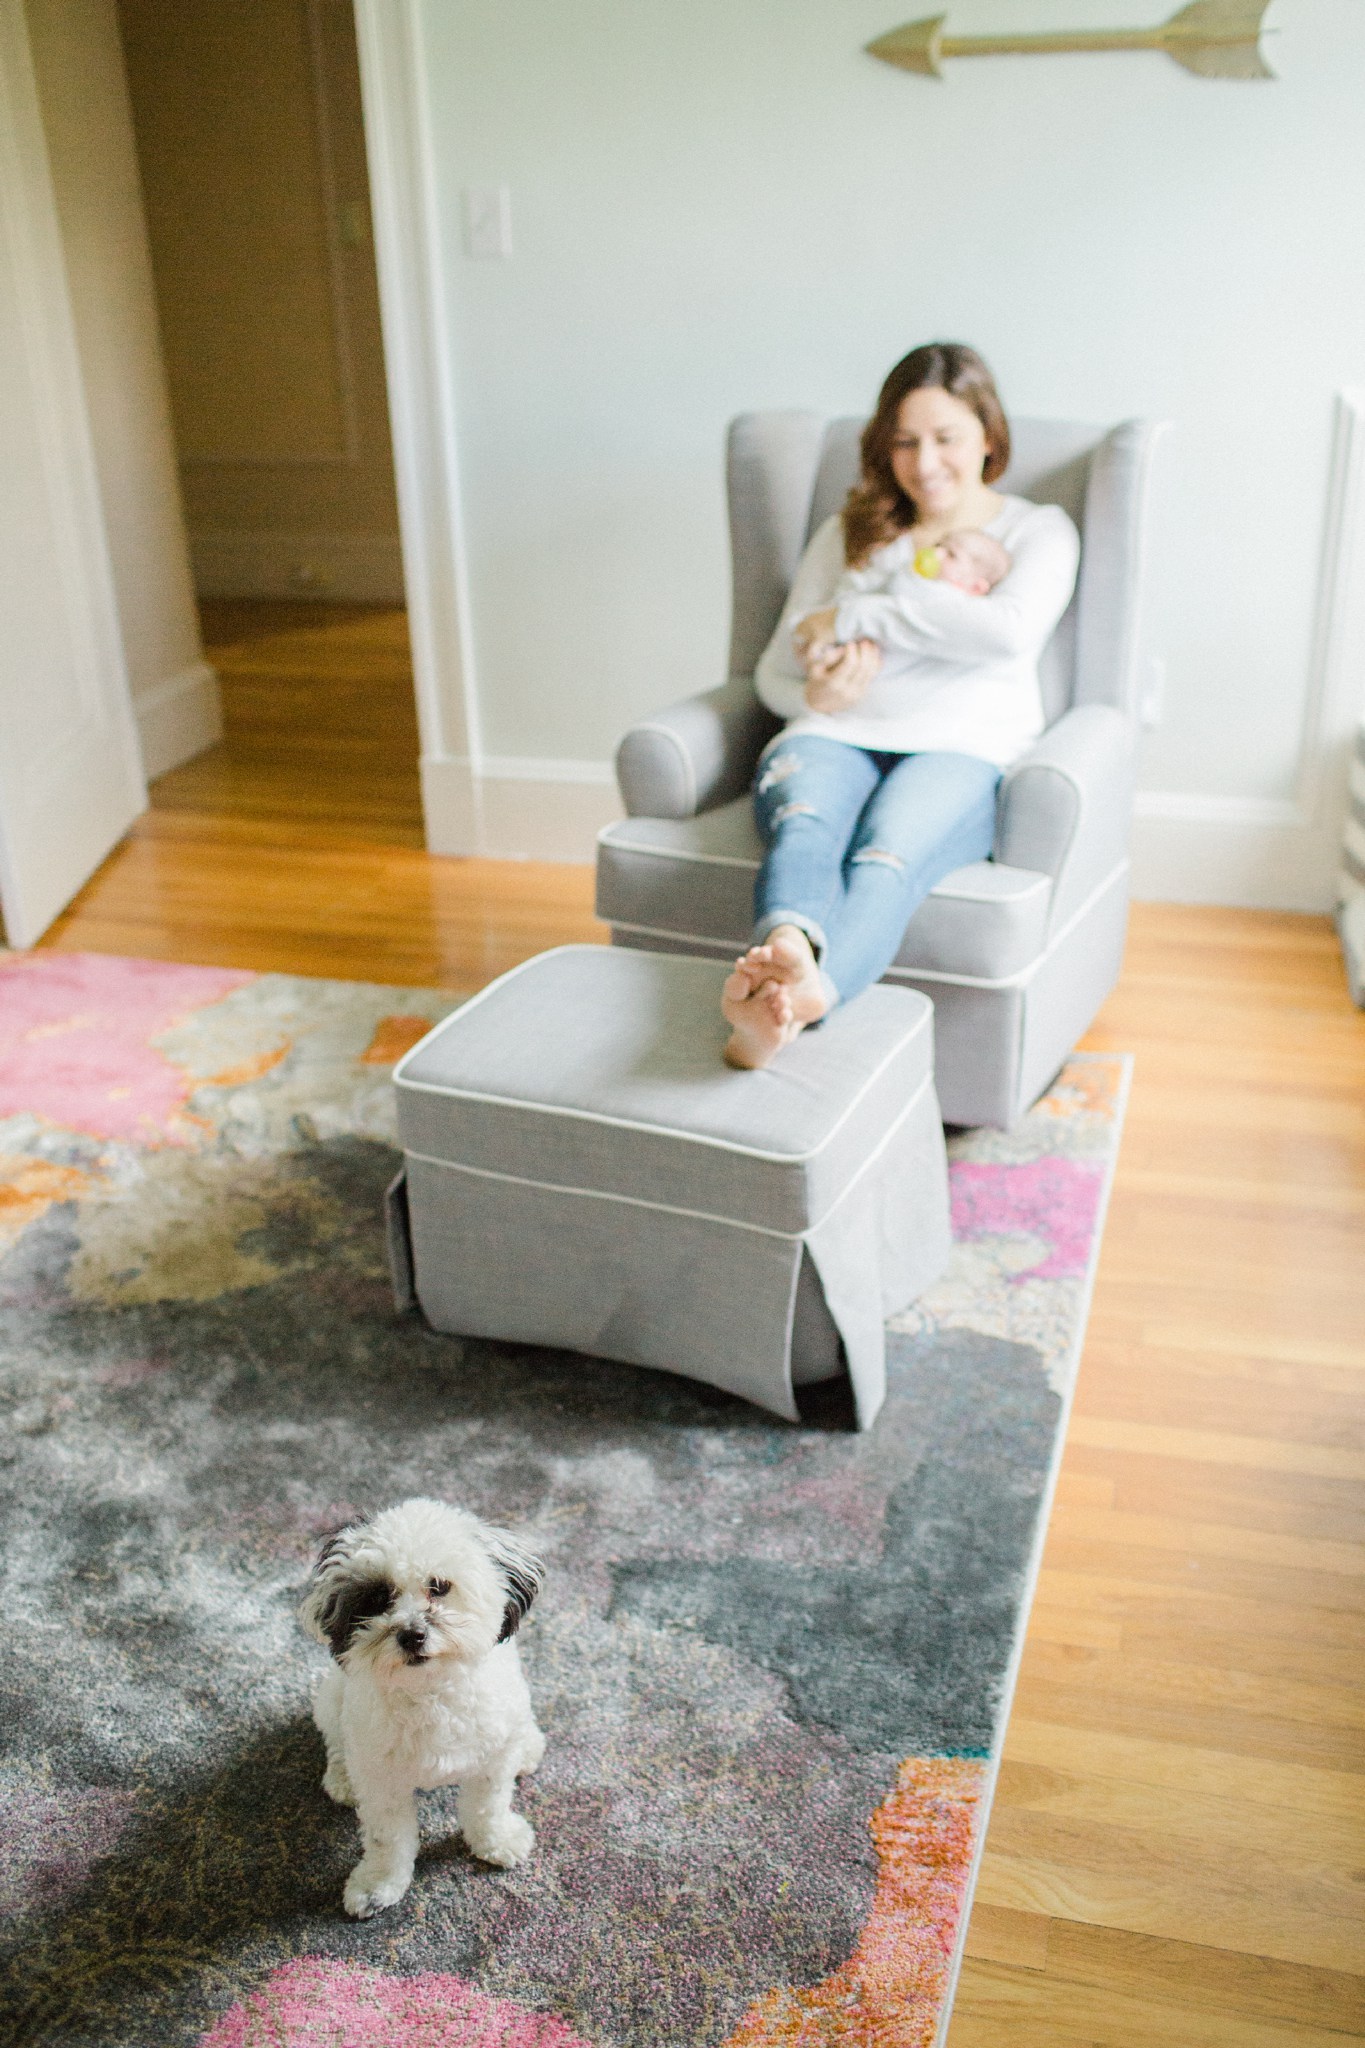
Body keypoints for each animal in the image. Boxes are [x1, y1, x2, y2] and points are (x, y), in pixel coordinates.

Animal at [300, 1490, 548, 1916]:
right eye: (378, 1597)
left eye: (439, 1586)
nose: (412, 1634)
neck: (431, 1693)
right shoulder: (381, 1780)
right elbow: (388, 1838)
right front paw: (377, 1885)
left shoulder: (492, 1760)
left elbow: (488, 1806)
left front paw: (497, 1841)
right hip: (332, 1699)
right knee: (336, 1739)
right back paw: (343, 1777)